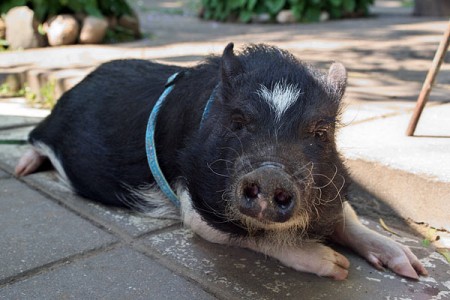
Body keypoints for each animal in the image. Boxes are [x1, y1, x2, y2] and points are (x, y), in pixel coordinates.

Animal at [16, 43, 426, 280]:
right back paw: (23, 168)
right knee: (35, 137)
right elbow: (245, 236)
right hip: (49, 123)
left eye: (321, 133)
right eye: (238, 122)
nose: (272, 173)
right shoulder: (194, 203)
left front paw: (414, 270)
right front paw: (337, 268)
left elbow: (347, 217)